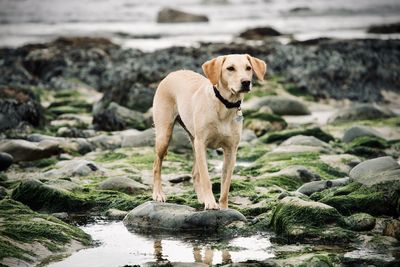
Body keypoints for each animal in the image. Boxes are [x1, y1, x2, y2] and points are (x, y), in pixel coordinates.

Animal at [152, 54, 268, 209]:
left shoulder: (231, 150)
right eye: (230, 68)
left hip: (194, 141)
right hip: (165, 135)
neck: (224, 105)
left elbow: (225, 185)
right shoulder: (202, 143)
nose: (246, 82)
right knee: (157, 165)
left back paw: (201, 198)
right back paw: (158, 194)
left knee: (195, 173)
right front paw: (211, 203)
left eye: (248, 68)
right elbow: (206, 178)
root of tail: (173, 73)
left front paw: (224, 208)